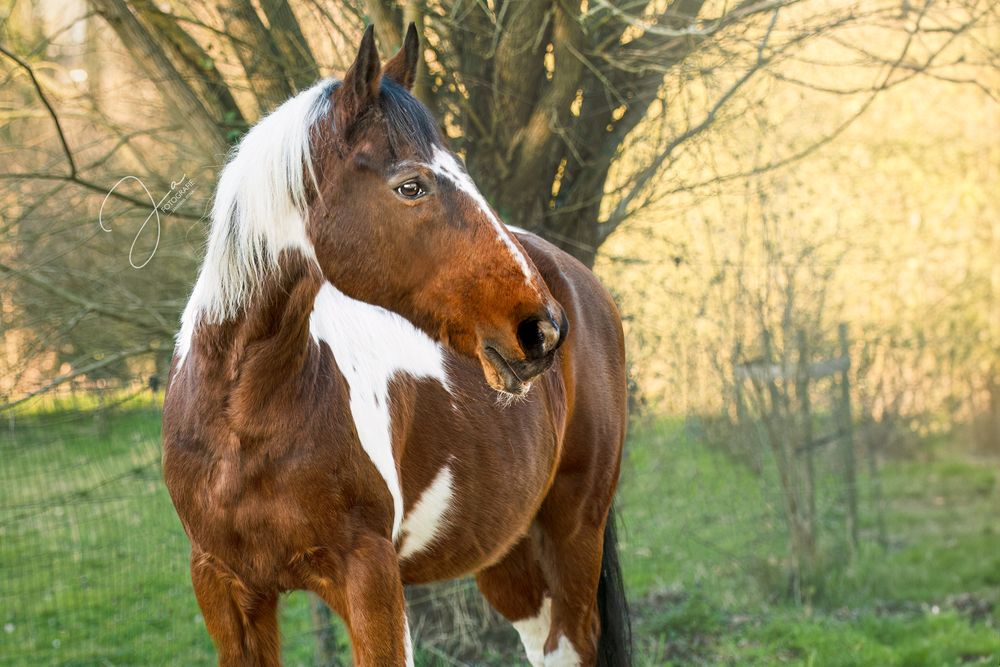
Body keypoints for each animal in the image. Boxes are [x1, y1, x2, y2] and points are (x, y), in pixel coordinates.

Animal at [162, 24, 630, 667]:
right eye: (411, 185)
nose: (542, 329)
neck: (240, 421)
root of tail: (580, 281)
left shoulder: (370, 577)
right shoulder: (223, 588)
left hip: (574, 532)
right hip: (509, 551)